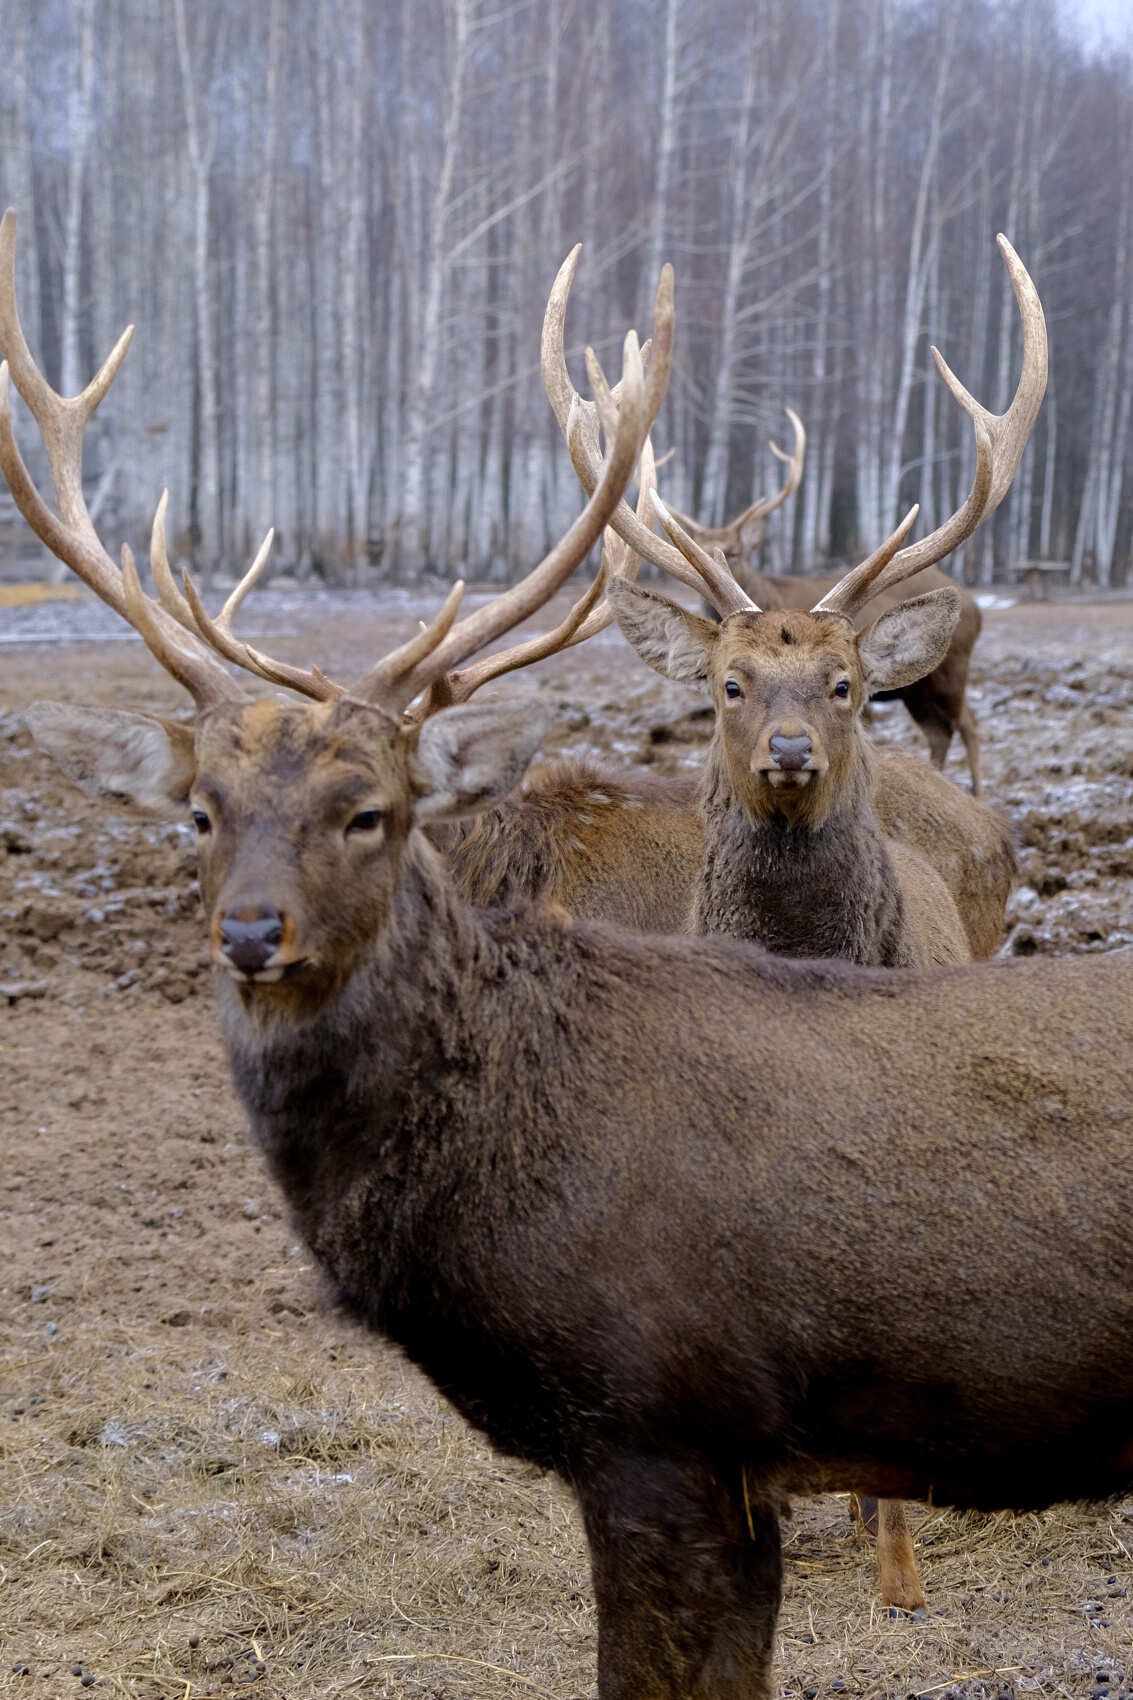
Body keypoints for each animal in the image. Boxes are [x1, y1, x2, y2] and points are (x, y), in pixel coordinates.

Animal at [666, 406, 986, 795]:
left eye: (735, 551)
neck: (768, 593)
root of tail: (975, 606)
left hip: (952, 668)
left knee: (966, 724)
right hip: (919, 687)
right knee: (943, 730)